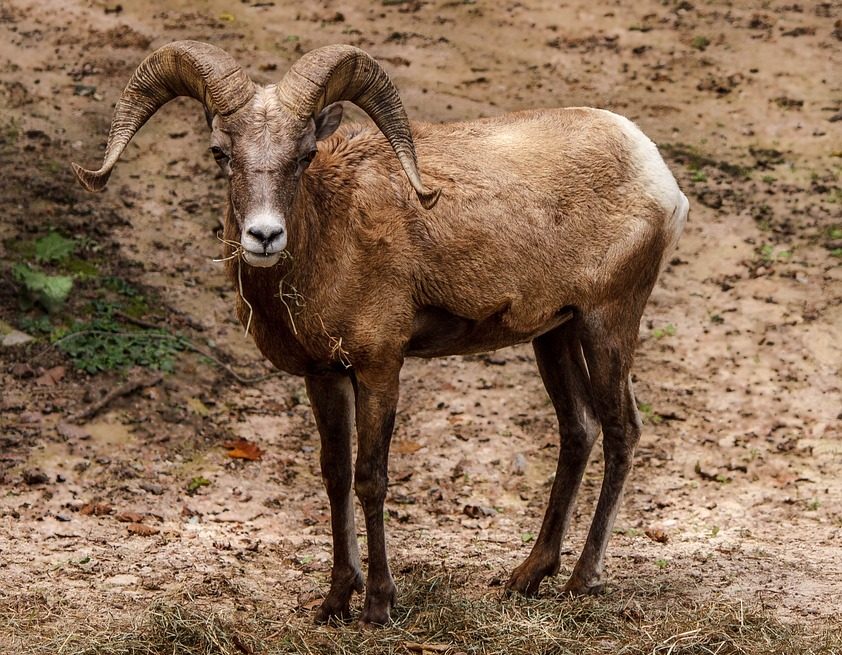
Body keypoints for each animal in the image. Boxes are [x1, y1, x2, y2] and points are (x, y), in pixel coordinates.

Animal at [74, 39, 688, 624]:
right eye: (221, 153)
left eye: (305, 154)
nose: (265, 236)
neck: (334, 239)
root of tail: (656, 172)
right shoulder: (324, 375)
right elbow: (334, 476)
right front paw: (333, 602)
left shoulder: (379, 369)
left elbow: (370, 477)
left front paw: (377, 605)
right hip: (553, 335)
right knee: (579, 430)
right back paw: (527, 577)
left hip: (607, 323)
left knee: (622, 431)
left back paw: (583, 580)